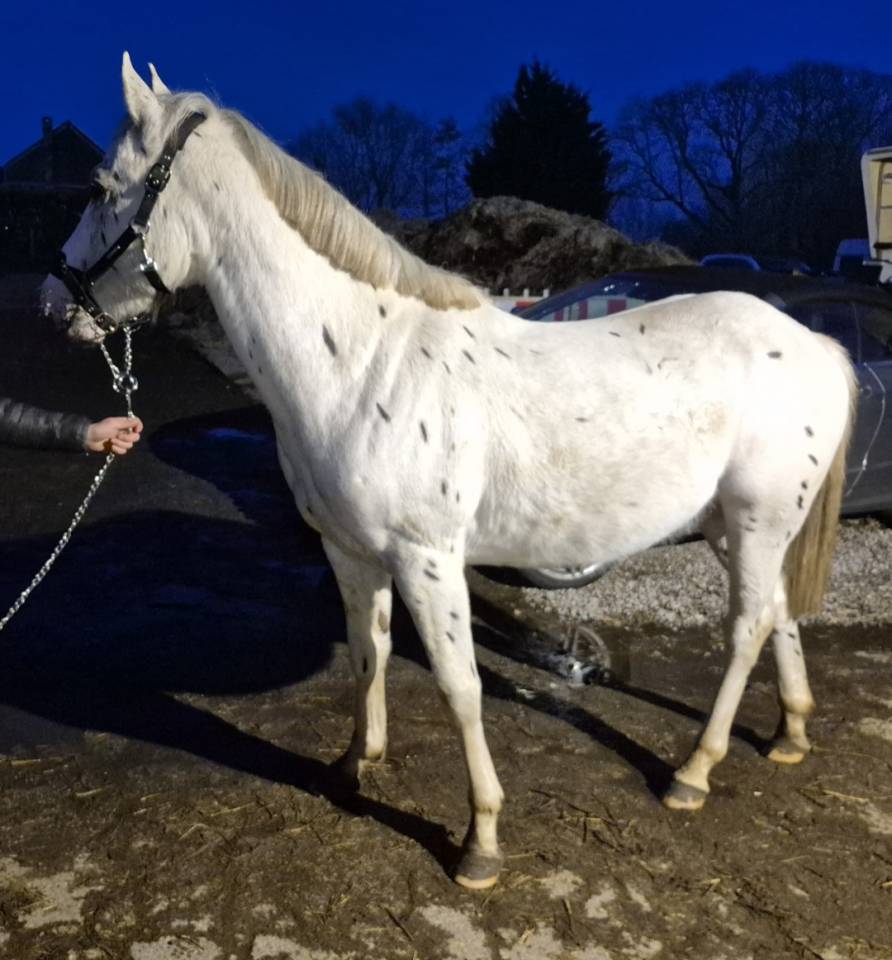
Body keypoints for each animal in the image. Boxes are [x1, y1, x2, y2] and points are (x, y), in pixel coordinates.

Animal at [43, 54, 856, 890]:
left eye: (103, 186)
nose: (52, 304)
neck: (361, 362)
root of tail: (814, 343)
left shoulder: (427, 560)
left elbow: (460, 688)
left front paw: (481, 841)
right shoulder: (351, 553)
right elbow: (366, 654)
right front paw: (354, 764)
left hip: (758, 520)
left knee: (746, 628)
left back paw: (693, 772)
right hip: (735, 526)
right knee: (778, 612)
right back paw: (789, 733)